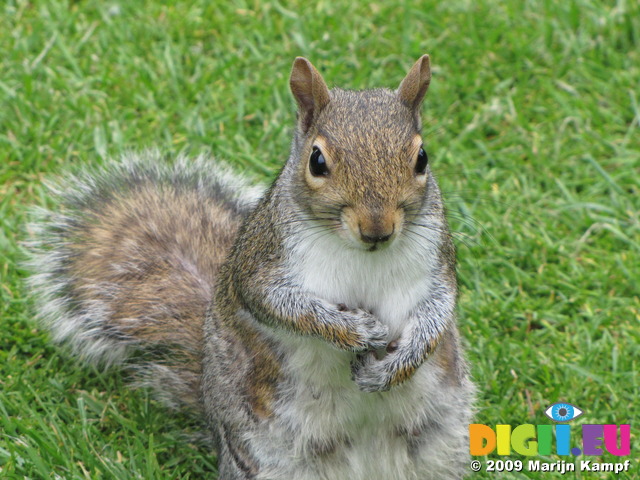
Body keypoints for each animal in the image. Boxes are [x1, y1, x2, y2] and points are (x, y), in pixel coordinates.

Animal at [26, 57, 476, 480]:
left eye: (422, 158)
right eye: (317, 161)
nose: (377, 229)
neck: (362, 254)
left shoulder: (437, 264)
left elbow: (438, 313)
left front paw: (400, 363)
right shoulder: (261, 264)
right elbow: (286, 307)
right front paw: (354, 330)